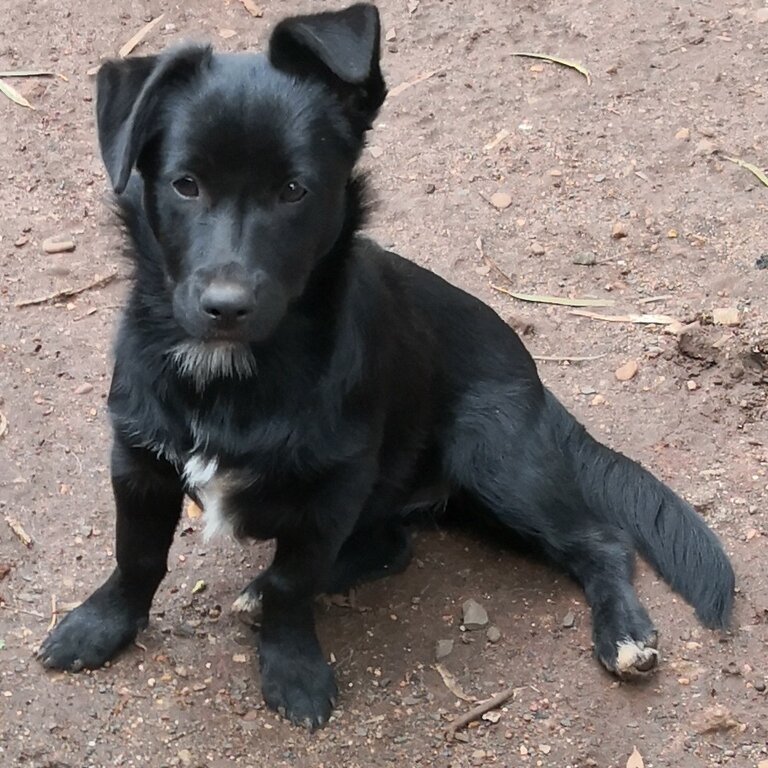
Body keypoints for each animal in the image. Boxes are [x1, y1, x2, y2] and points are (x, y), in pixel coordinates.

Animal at [39, 3, 736, 728]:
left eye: (295, 190)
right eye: (185, 185)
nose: (225, 307)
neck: (230, 373)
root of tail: (537, 382)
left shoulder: (332, 491)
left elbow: (293, 583)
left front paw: (293, 670)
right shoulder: (138, 461)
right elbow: (138, 555)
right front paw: (101, 625)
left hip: (494, 460)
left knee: (600, 541)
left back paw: (624, 633)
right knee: (395, 546)